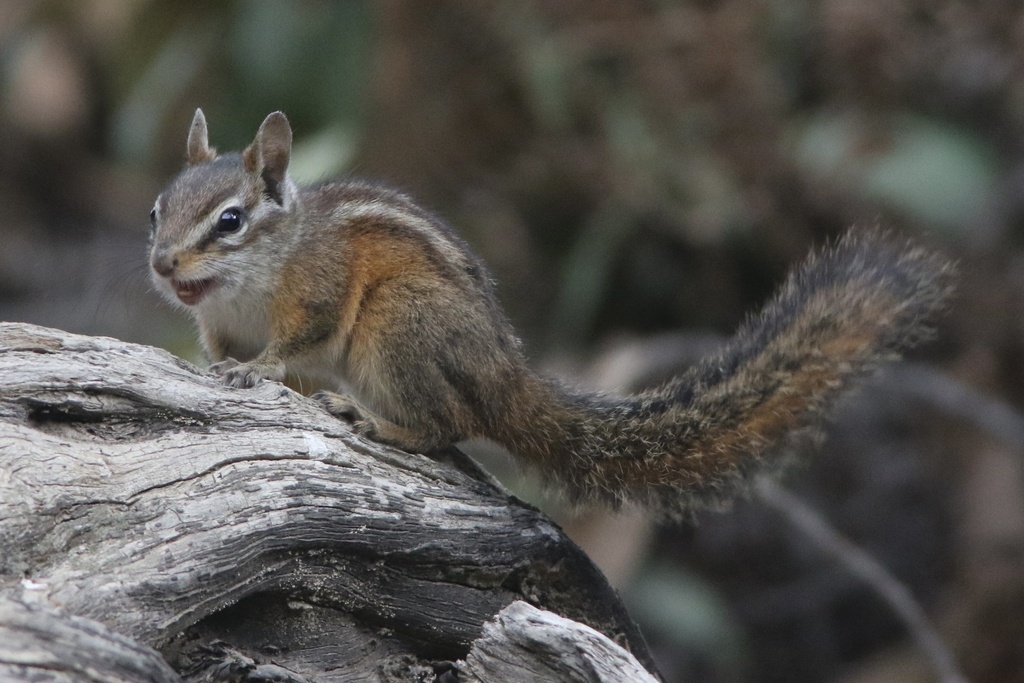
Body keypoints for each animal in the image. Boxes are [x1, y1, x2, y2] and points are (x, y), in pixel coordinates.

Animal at [149, 109, 954, 515]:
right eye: (158, 208)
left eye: (229, 221)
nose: (161, 264)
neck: (244, 287)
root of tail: (510, 378)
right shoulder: (219, 322)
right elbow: (224, 350)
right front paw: (218, 365)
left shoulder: (321, 287)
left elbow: (298, 340)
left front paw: (260, 371)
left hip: (398, 321)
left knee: (446, 425)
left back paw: (377, 420)